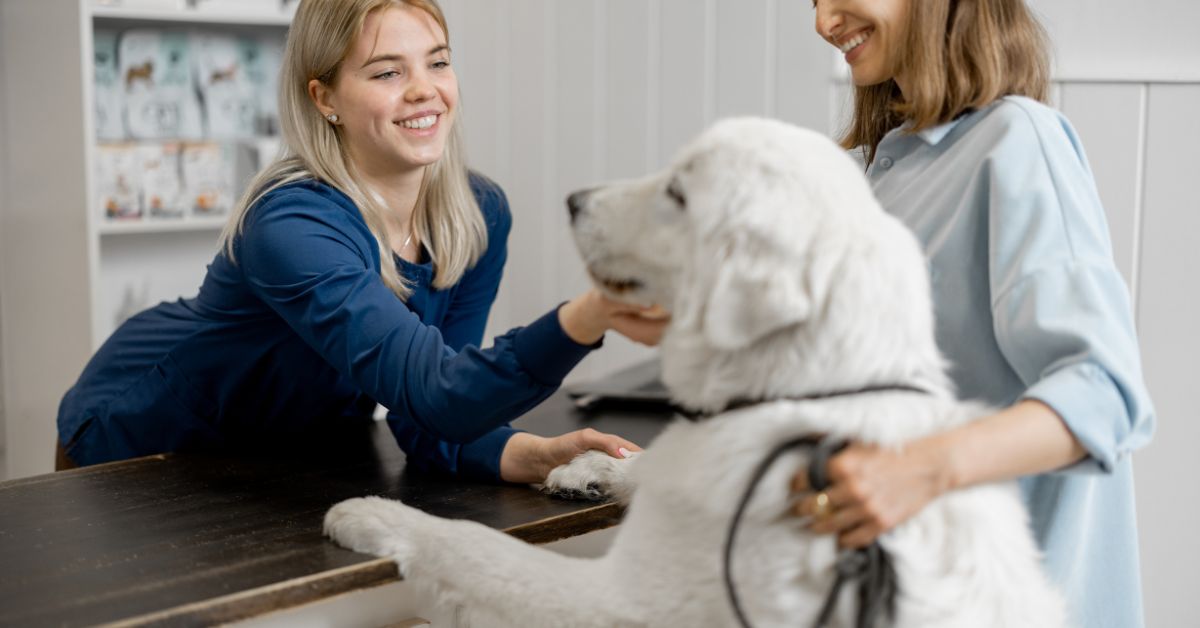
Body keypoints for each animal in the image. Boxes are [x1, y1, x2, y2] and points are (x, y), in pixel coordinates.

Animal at [324, 119, 1065, 628]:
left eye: (679, 193)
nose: (574, 199)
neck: (798, 396)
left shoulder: (611, 600)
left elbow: (469, 544)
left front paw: (372, 514)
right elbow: (643, 462)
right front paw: (590, 468)